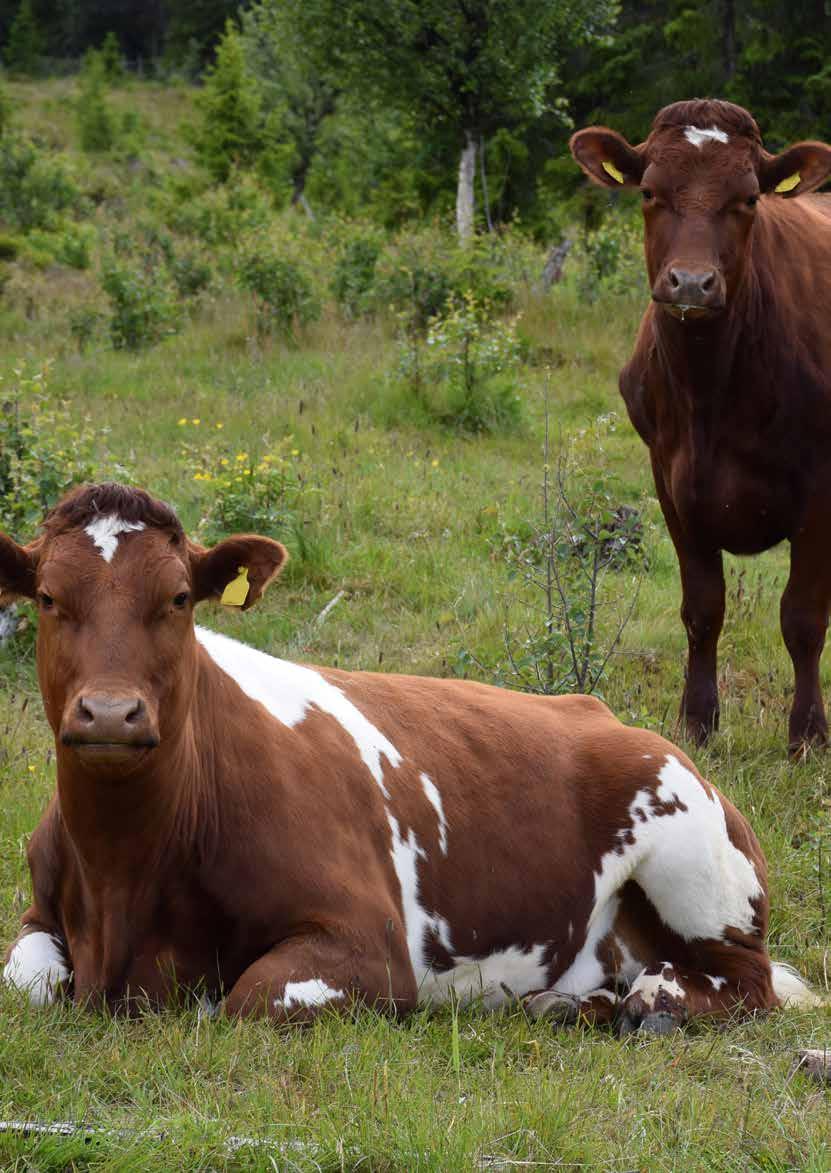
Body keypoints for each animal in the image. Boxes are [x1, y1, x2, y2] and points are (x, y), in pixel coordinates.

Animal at [0, 480, 816, 1032]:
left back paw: (650, 998)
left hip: (693, 859)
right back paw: (562, 1002)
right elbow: (27, 982)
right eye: (47, 597)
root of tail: (599, 712)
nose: (110, 711)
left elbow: (243, 998)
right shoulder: (41, 910)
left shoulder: (369, 944)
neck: (124, 876)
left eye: (176, 599)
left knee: (743, 981)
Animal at [570, 100, 831, 750]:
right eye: (649, 192)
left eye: (749, 199)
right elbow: (703, 608)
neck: (711, 391)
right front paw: (697, 722)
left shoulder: (822, 492)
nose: (690, 282)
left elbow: (803, 617)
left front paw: (807, 736)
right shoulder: (671, 479)